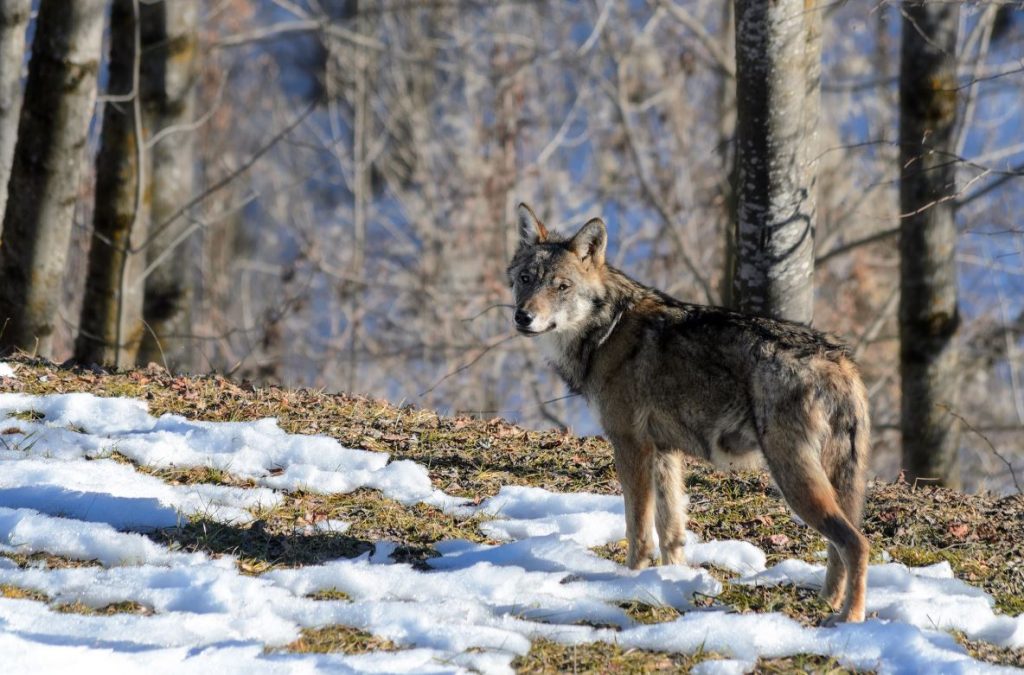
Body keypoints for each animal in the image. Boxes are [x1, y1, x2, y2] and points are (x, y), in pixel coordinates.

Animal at [507, 204, 868, 622]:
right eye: (526, 279)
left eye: (561, 286)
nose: (522, 317)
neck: (607, 331)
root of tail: (840, 360)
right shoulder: (665, 452)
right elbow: (671, 532)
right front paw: (671, 581)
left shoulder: (631, 446)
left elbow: (638, 530)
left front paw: (630, 580)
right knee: (839, 546)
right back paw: (827, 603)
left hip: (793, 479)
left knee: (856, 543)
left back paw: (850, 618)